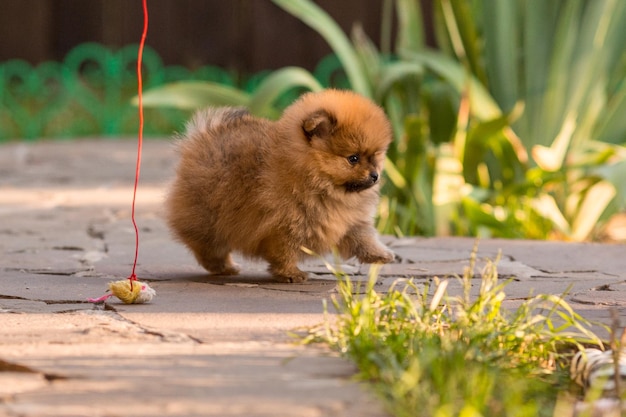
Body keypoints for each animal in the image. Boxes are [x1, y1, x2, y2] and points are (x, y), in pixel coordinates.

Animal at [163, 89, 392, 282]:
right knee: (208, 247)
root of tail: (200, 139)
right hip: (209, 219)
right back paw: (224, 267)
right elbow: (285, 252)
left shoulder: (348, 220)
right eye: (353, 158)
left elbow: (363, 238)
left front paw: (381, 254)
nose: (375, 176)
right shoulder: (284, 225)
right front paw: (291, 273)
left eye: (376, 156)